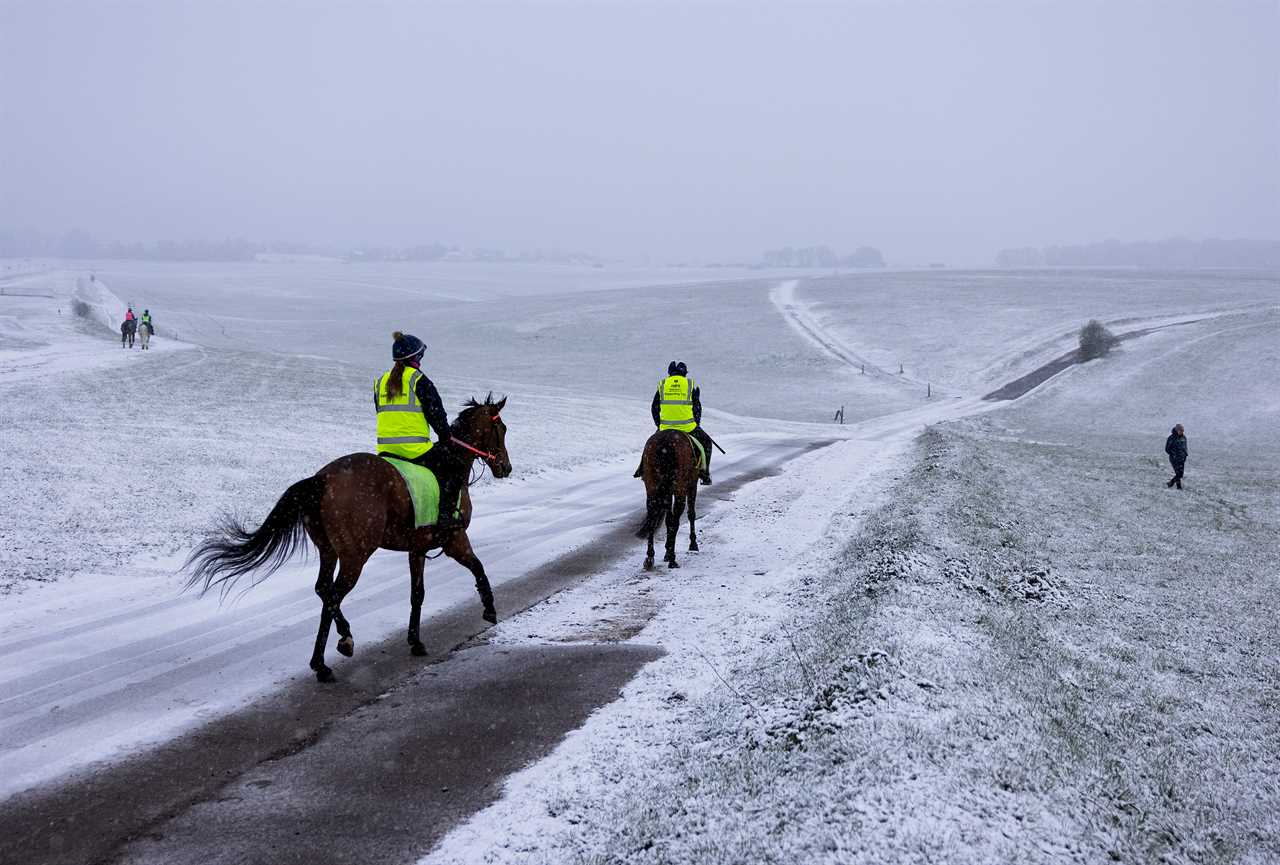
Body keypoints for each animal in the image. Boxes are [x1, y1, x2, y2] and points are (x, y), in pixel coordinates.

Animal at [184, 394, 509, 680]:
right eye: (501, 429)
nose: (505, 467)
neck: (451, 464)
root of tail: (323, 478)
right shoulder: (454, 540)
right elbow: (478, 567)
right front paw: (490, 608)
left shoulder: (416, 549)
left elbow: (417, 594)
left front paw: (415, 641)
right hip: (355, 555)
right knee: (333, 595)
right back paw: (333, 651)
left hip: (329, 551)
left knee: (323, 590)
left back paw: (333, 650)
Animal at [637, 429, 701, 570]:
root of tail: (665, 443)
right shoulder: (692, 486)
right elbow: (691, 515)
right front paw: (693, 544)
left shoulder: (666, 493)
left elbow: (666, 519)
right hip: (680, 489)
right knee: (675, 520)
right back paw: (672, 559)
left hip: (652, 487)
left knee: (652, 518)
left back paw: (650, 558)